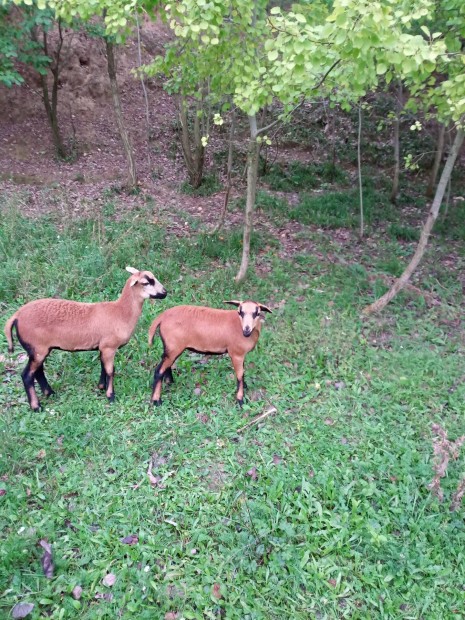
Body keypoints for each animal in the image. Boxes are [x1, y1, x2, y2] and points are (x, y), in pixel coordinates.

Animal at [3, 266, 167, 412]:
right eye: (146, 282)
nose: (165, 293)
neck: (121, 312)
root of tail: (16, 316)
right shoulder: (109, 347)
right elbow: (110, 371)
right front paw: (111, 396)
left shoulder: (102, 347)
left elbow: (103, 367)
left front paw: (101, 387)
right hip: (37, 348)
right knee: (27, 375)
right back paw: (37, 407)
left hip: (38, 350)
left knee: (38, 372)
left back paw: (50, 393)